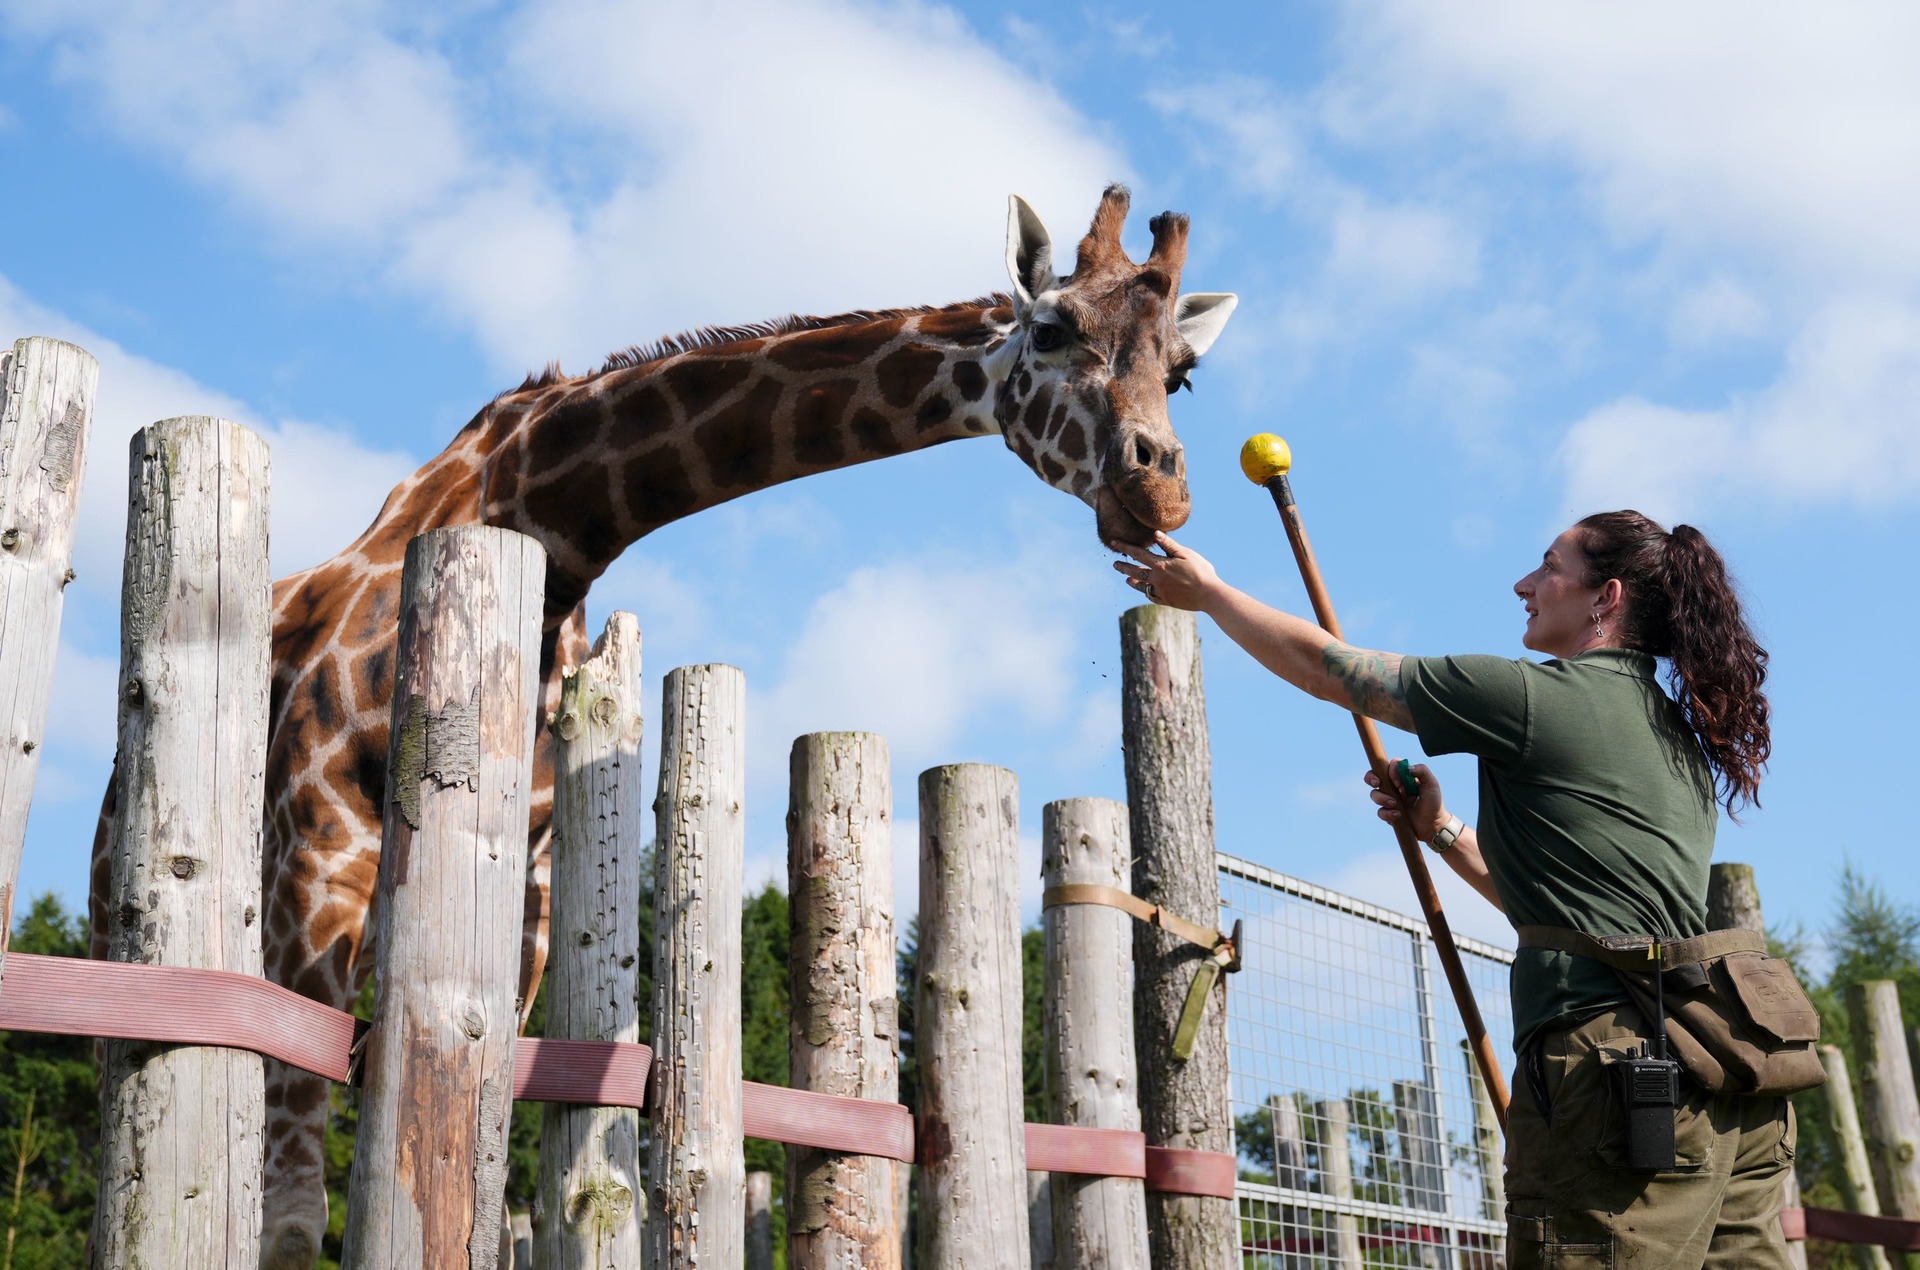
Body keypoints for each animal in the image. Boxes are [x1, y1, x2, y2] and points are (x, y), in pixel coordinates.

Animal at [90, 183, 1236, 1260]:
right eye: (1049, 329)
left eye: (1180, 371)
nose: (1162, 491)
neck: (549, 526)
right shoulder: (319, 855)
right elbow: (289, 1223)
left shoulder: (523, 906)